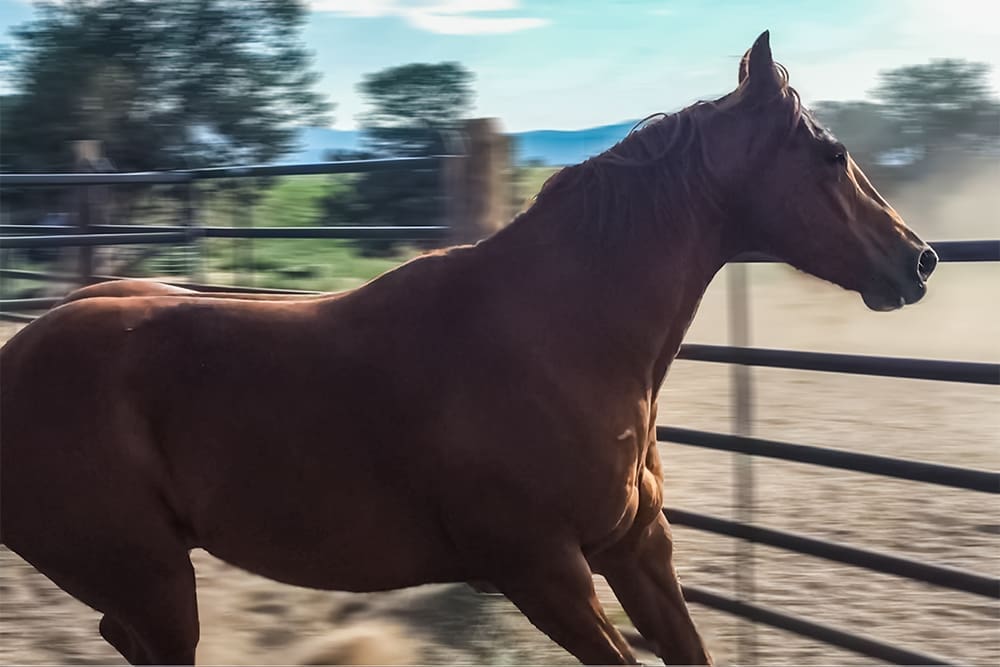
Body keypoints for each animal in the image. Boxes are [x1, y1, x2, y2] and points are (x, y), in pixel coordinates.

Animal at [1, 32, 936, 667]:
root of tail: (18, 355)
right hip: (154, 583)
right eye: (832, 152)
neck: (563, 334)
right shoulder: (542, 572)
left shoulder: (638, 548)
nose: (919, 259)